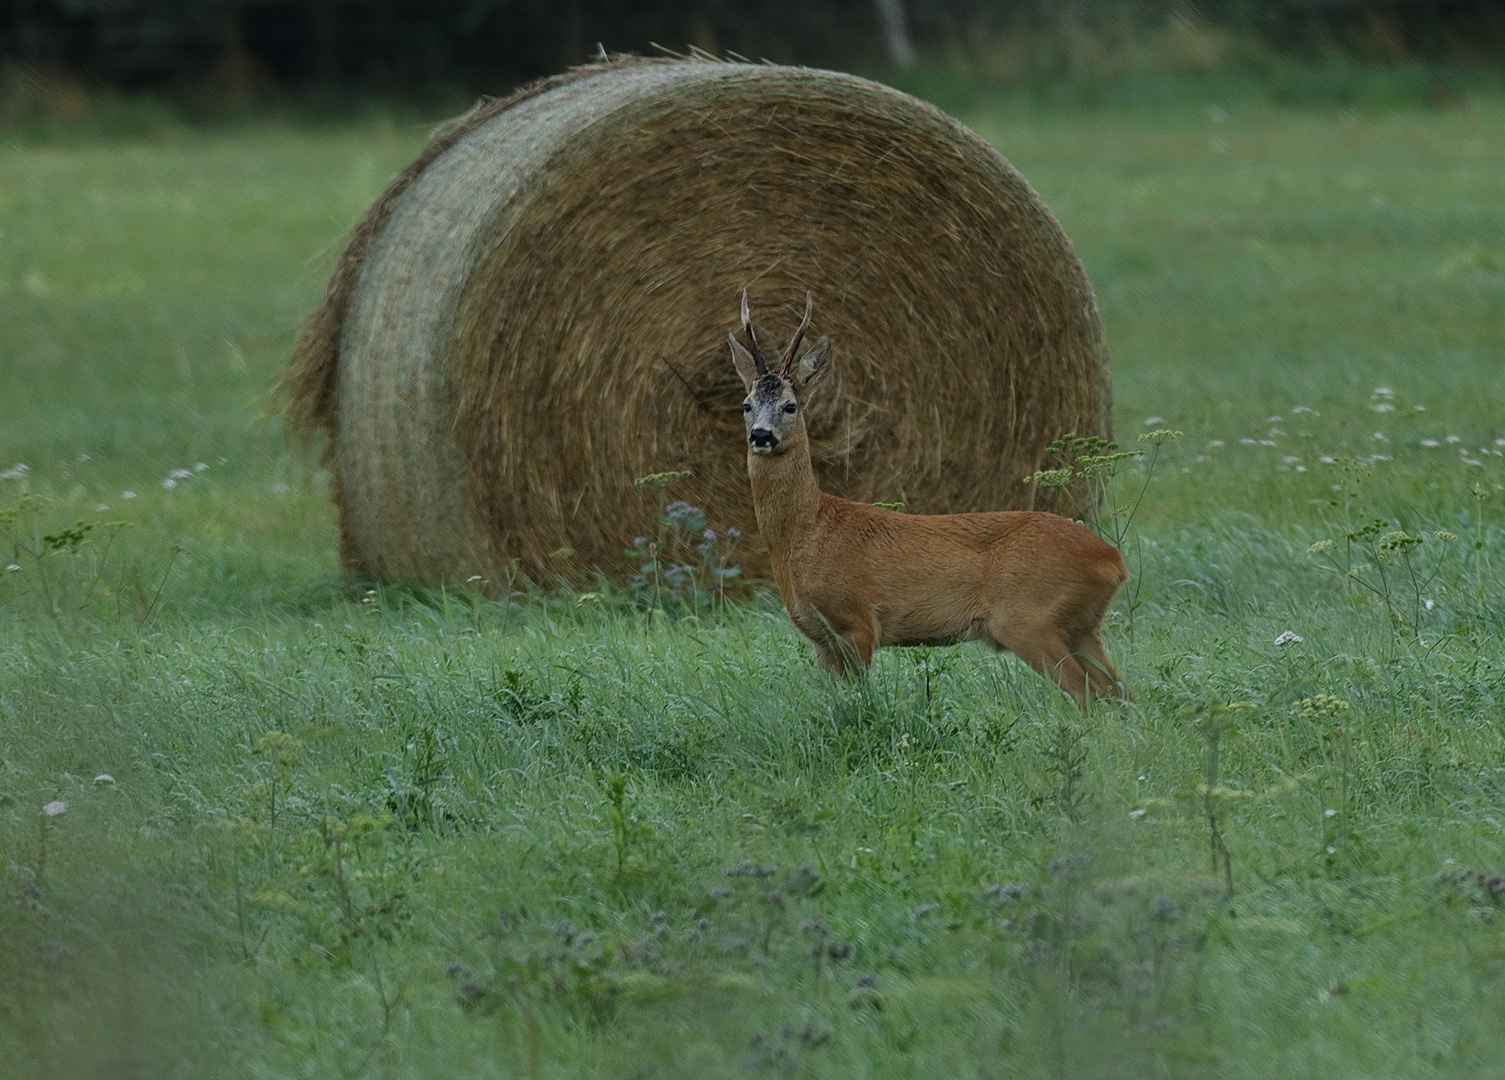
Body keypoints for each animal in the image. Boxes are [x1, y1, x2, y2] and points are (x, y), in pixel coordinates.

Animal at [728, 291, 1131, 706]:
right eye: (746, 405)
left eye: (790, 406)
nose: (761, 435)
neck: (808, 532)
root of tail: (1113, 561)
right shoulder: (821, 638)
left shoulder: (857, 619)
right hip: (1081, 626)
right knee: (1119, 693)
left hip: (1028, 617)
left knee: (1086, 695)